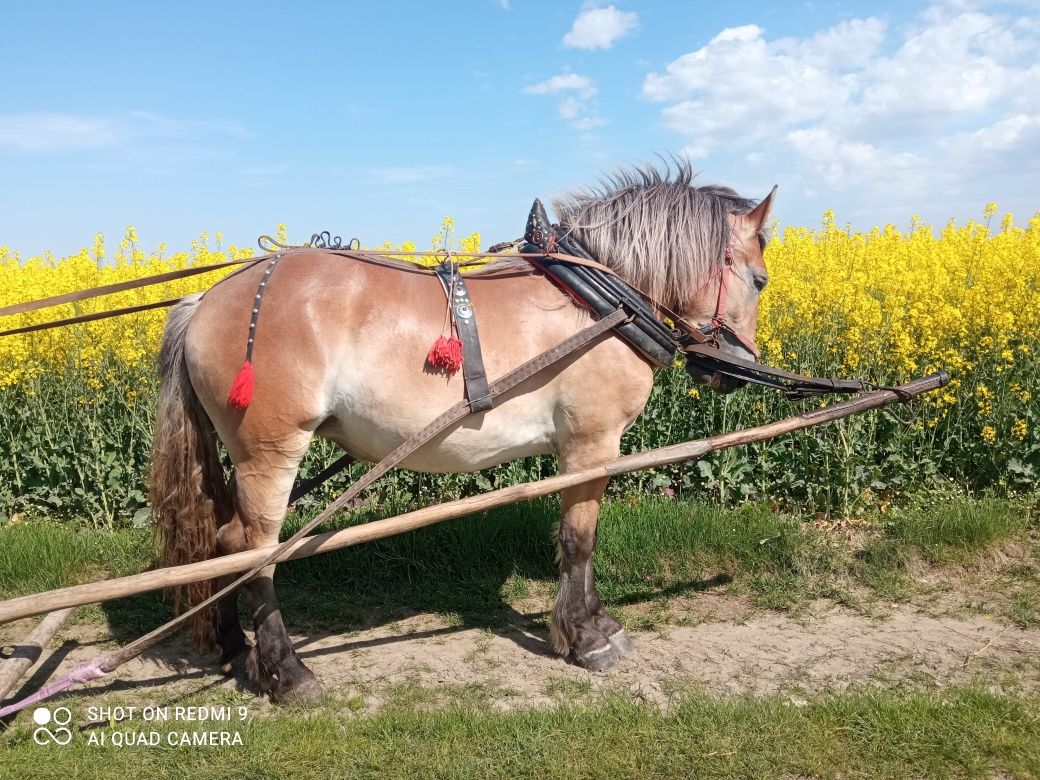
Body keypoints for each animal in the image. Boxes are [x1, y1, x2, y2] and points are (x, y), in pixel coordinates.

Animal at [150, 162, 777, 707]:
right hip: (271, 449)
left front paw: (589, 625)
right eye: (760, 279)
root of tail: (204, 300)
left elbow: (578, 538)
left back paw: (234, 645)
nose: (735, 369)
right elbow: (579, 539)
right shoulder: (592, 443)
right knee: (250, 549)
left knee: (219, 540)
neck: (598, 302)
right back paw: (286, 670)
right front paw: (588, 635)